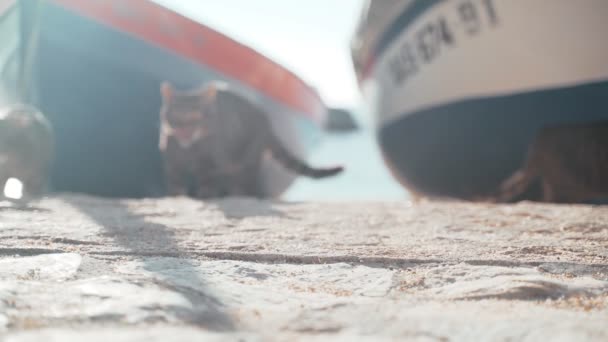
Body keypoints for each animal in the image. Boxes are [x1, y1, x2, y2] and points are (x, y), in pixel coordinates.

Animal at [159, 81, 344, 198]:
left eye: (196, 117)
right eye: (176, 116)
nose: (184, 132)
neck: (188, 150)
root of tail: (266, 120)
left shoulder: (214, 162)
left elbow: (208, 179)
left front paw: (207, 193)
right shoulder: (172, 161)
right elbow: (175, 180)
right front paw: (176, 195)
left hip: (248, 160)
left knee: (247, 182)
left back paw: (239, 194)